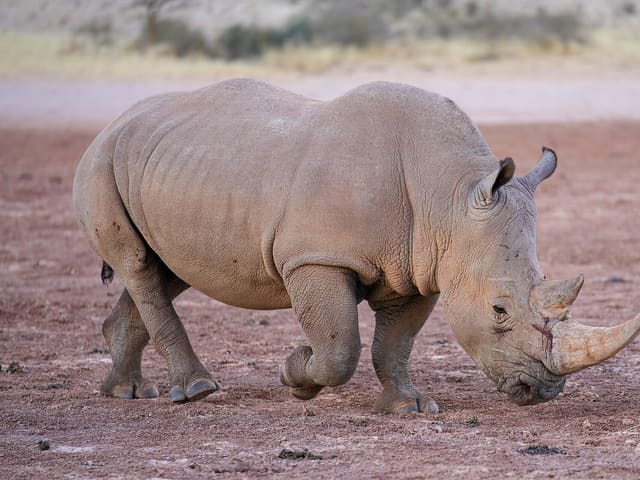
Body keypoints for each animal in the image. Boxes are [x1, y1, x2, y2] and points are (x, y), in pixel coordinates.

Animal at [73, 78, 640, 413]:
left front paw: (410, 407)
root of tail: (113, 123)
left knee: (166, 270)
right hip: (101, 161)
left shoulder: (421, 267)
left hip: (172, 167)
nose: (541, 392)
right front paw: (296, 373)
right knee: (139, 266)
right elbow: (339, 346)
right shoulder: (316, 258)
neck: (449, 194)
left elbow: (396, 343)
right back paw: (196, 391)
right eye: (499, 310)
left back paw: (127, 392)